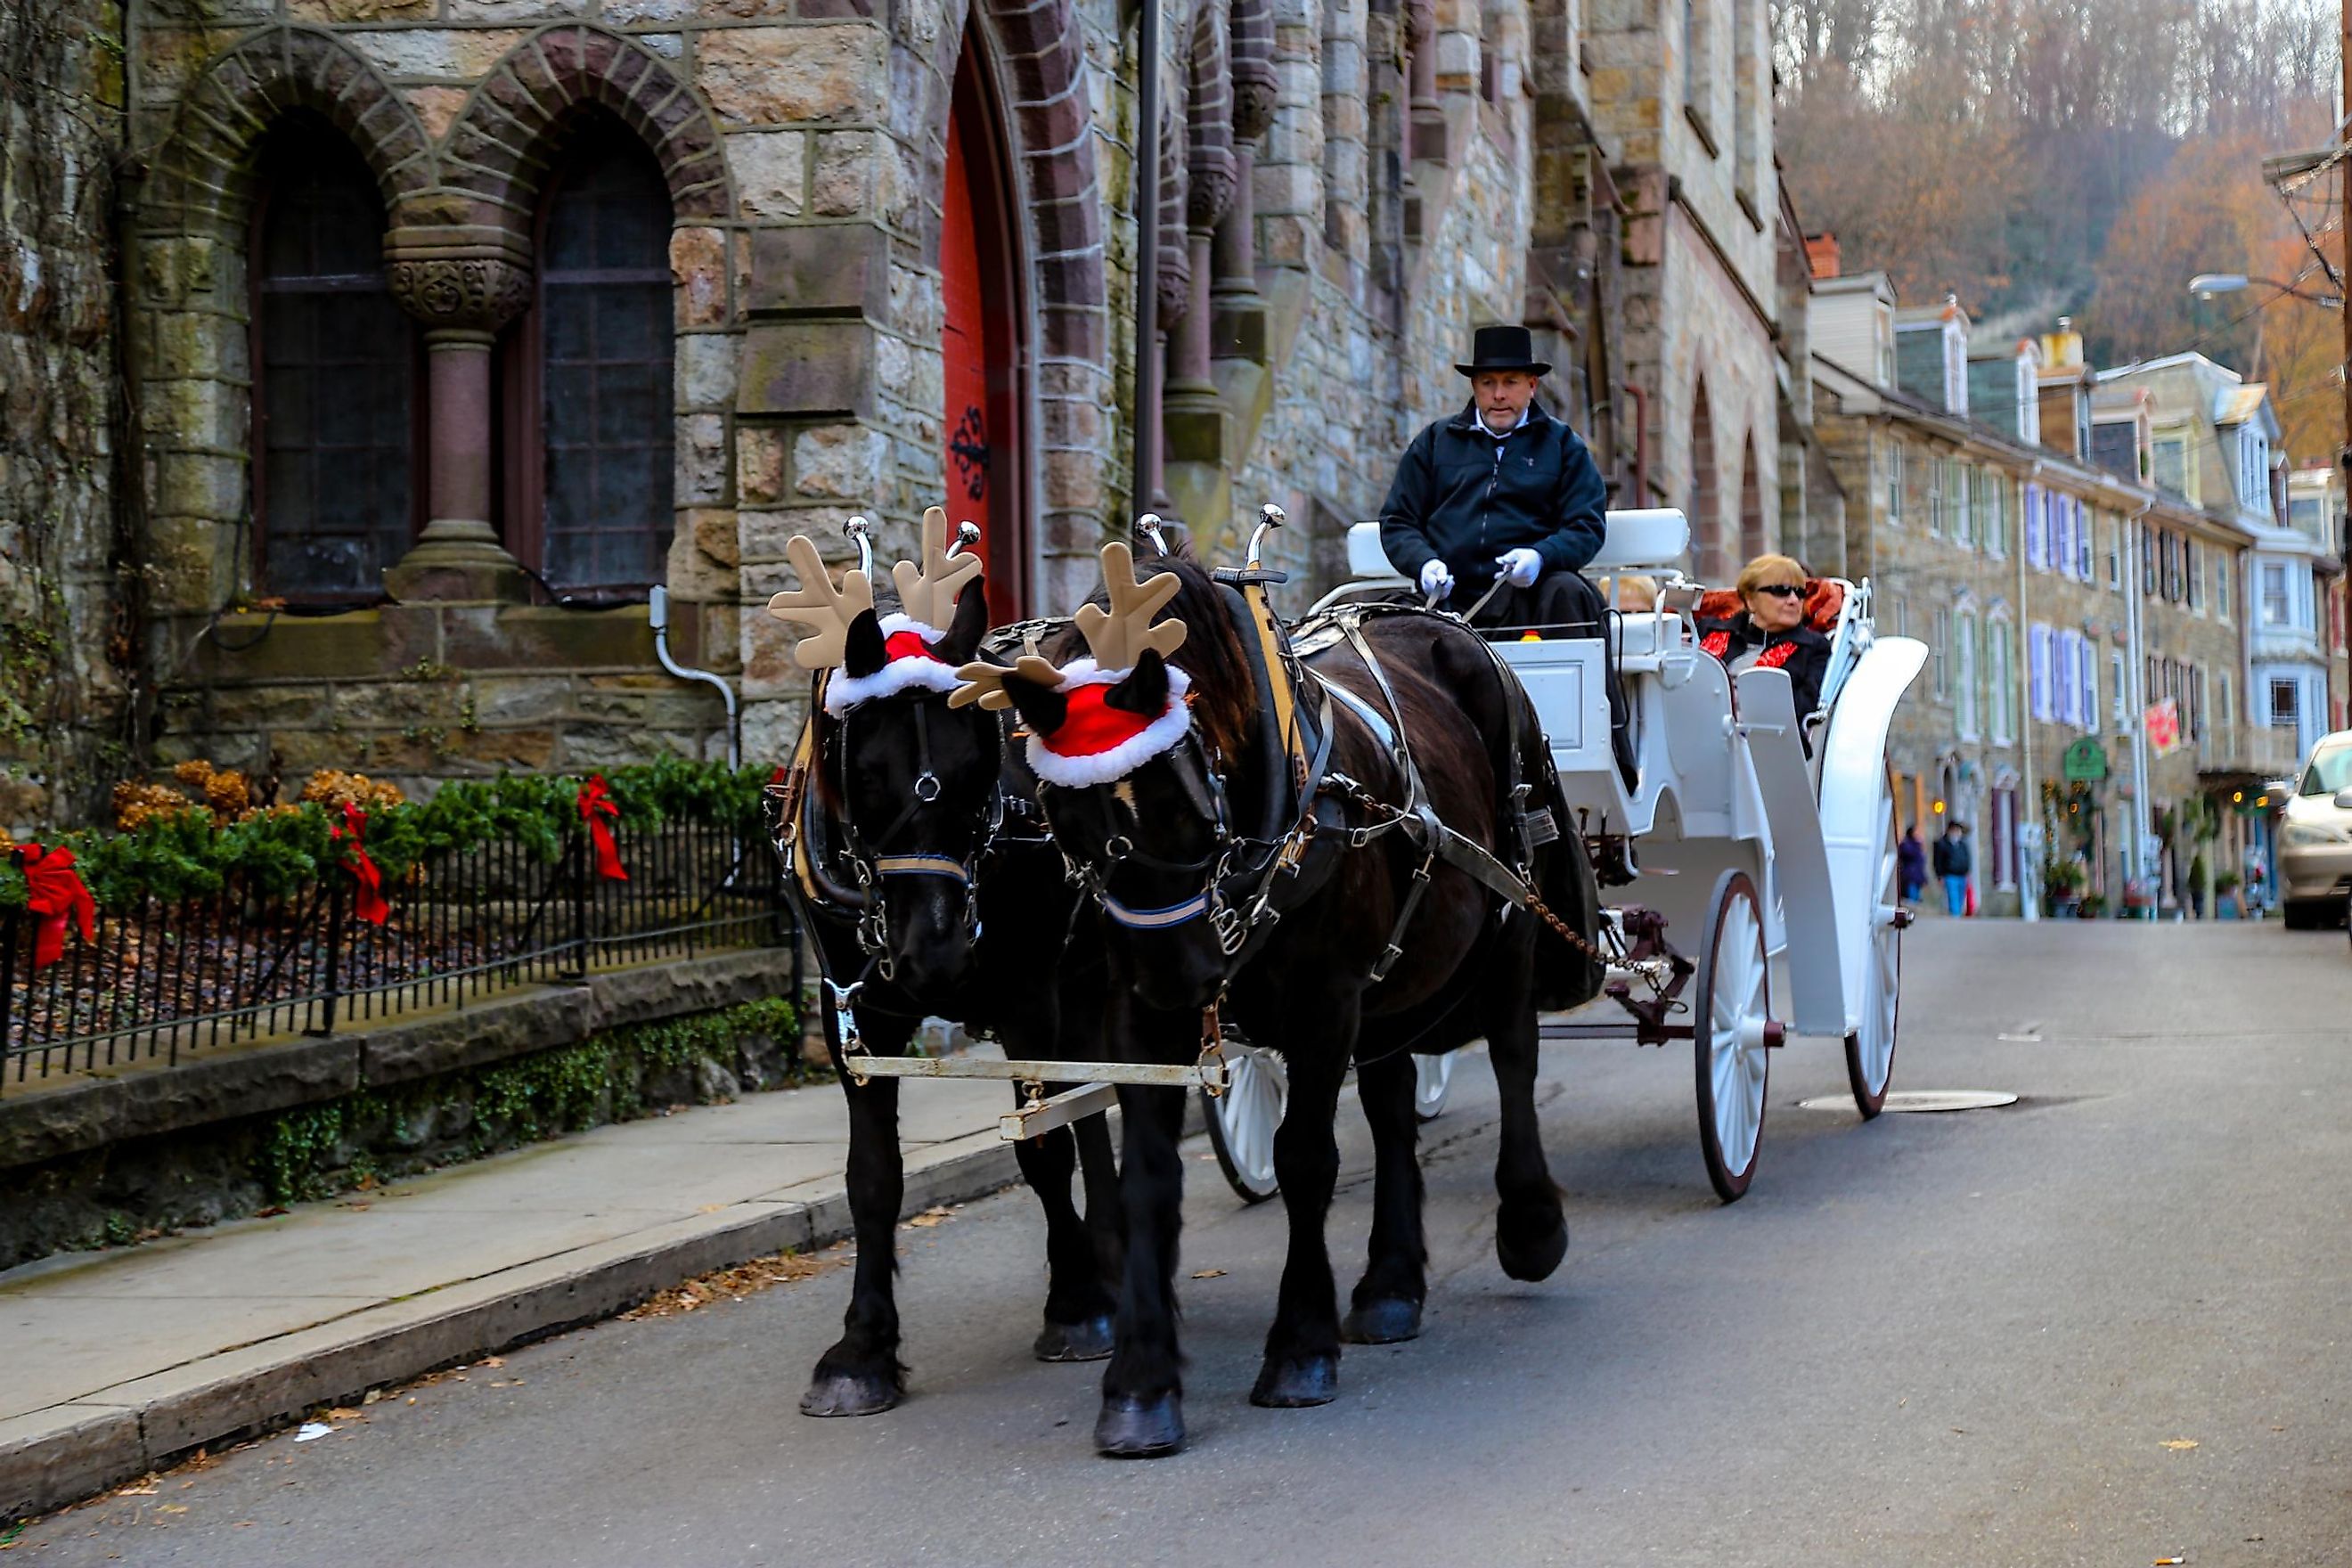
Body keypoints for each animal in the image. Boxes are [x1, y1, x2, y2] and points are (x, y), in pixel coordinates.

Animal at [776, 580, 1123, 1419]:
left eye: (977, 767)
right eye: (866, 774)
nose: (932, 955)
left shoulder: (1030, 999)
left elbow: (1041, 1147)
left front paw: (1075, 1303)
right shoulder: (856, 1019)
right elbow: (872, 1177)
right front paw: (862, 1349)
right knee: (1095, 1099)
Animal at [983, 543, 1608, 1457]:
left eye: (1180, 797)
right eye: (1063, 817)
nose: (1184, 977)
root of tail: (1433, 619)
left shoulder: (1324, 1001)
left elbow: (1306, 1160)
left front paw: (1300, 1348)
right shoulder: (1140, 1020)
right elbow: (1147, 1180)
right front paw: (1140, 1385)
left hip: (1511, 913)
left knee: (1513, 1055)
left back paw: (1531, 1226)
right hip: (1394, 979)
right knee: (1391, 1102)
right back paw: (1390, 1285)